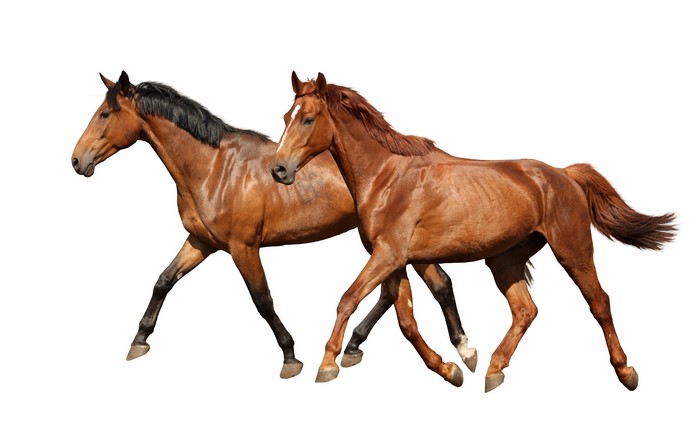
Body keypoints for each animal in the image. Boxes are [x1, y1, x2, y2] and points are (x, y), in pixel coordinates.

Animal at [71, 71, 477, 383]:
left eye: (104, 113)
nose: (76, 160)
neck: (214, 168)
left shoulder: (243, 247)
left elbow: (262, 300)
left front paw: (290, 357)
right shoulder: (201, 241)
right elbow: (164, 280)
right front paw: (139, 340)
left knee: (431, 285)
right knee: (409, 290)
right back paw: (366, 347)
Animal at [271, 71, 677, 392]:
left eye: (308, 119)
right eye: (287, 117)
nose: (278, 169)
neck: (387, 175)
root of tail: (564, 174)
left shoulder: (388, 255)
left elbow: (349, 299)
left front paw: (327, 364)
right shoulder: (395, 260)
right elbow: (406, 322)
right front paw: (450, 369)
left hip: (572, 250)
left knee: (599, 303)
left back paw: (626, 372)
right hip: (504, 260)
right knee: (526, 310)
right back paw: (494, 370)